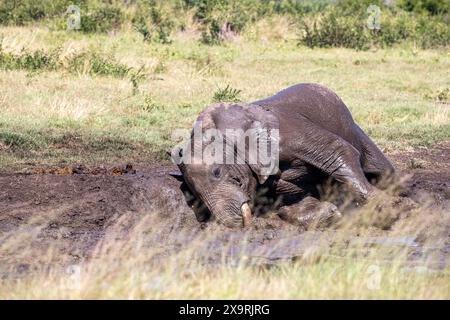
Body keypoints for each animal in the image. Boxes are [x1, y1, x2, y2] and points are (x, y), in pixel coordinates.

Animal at [172, 82, 394, 228]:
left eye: (217, 172)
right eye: (193, 194)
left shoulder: (288, 134)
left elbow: (338, 152)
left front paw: (387, 210)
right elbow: (288, 199)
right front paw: (332, 215)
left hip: (353, 128)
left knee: (383, 170)